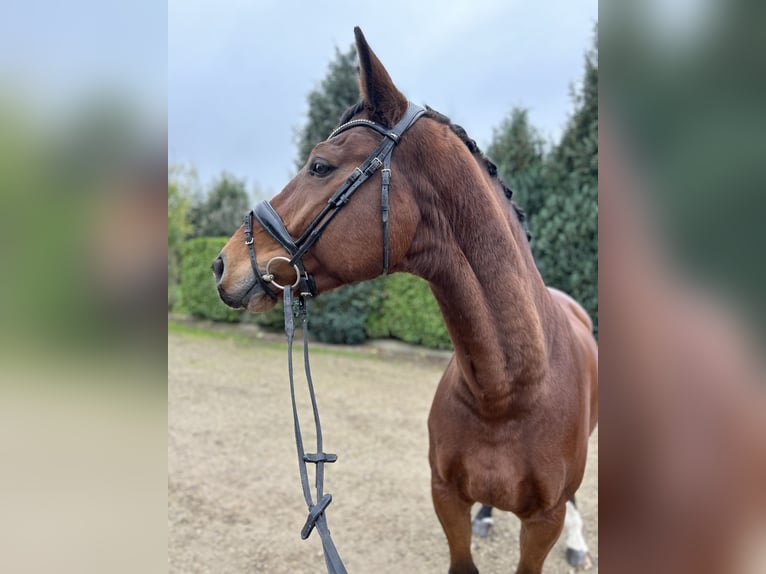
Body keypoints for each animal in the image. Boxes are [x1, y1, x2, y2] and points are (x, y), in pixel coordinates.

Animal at [214, 28, 600, 574]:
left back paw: (579, 543)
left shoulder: (541, 522)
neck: (509, 392)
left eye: (320, 165)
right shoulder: (447, 499)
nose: (222, 264)